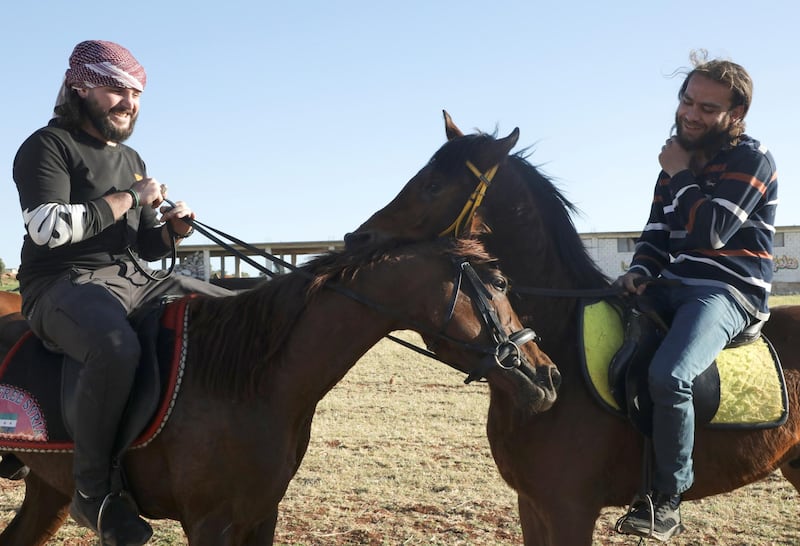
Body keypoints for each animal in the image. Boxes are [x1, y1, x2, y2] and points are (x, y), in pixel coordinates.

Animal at [1, 238, 564, 544]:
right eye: (498, 286)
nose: (548, 377)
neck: (248, 380)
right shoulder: (210, 523)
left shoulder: (259, 515)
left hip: (50, 489)